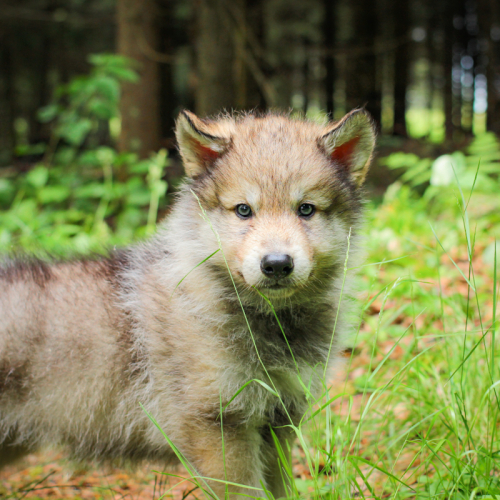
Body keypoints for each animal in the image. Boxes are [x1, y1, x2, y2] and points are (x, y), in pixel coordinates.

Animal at [0, 108, 376, 496]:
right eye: (244, 210)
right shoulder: (220, 424)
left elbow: (280, 489)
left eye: (306, 209)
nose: (276, 264)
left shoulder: (278, 419)